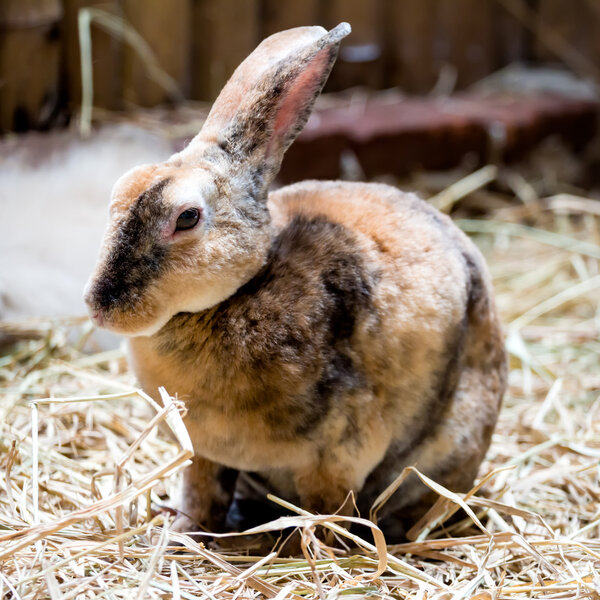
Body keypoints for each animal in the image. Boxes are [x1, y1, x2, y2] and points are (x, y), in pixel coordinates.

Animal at [83, 22, 506, 540]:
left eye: (186, 218)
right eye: (121, 189)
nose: (98, 306)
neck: (243, 290)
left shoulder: (337, 457)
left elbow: (326, 512)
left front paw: (317, 546)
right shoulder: (203, 456)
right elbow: (201, 495)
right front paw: (182, 533)